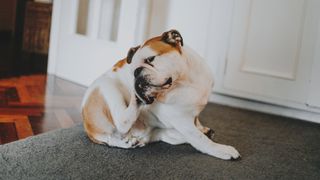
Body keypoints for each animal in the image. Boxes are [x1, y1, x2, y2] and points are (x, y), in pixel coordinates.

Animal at [82, 29, 240, 160]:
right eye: (132, 70)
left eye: (150, 59)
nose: (136, 72)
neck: (184, 81)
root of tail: (89, 129)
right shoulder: (181, 120)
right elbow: (199, 138)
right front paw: (221, 150)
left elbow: (197, 124)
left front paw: (202, 128)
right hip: (107, 87)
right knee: (120, 124)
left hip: (158, 132)